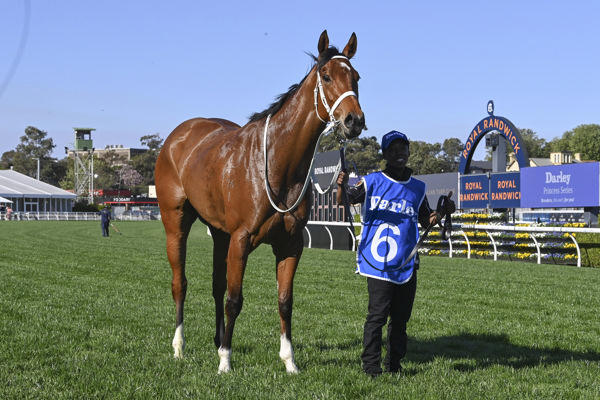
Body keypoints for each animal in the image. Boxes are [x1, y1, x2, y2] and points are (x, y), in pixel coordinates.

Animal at [155, 31, 364, 376]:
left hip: (220, 234)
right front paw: (225, 361)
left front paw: (289, 361)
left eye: (356, 77)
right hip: (176, 223)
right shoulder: (242, 239)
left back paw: (216, 340)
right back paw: (179, 347)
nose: (354, 120)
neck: (278, 161)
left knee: (216, 285)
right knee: (179, 284)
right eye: (326, 75)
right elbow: (235, 300)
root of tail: (179, 135)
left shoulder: (290, 244)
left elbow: (284, 301)